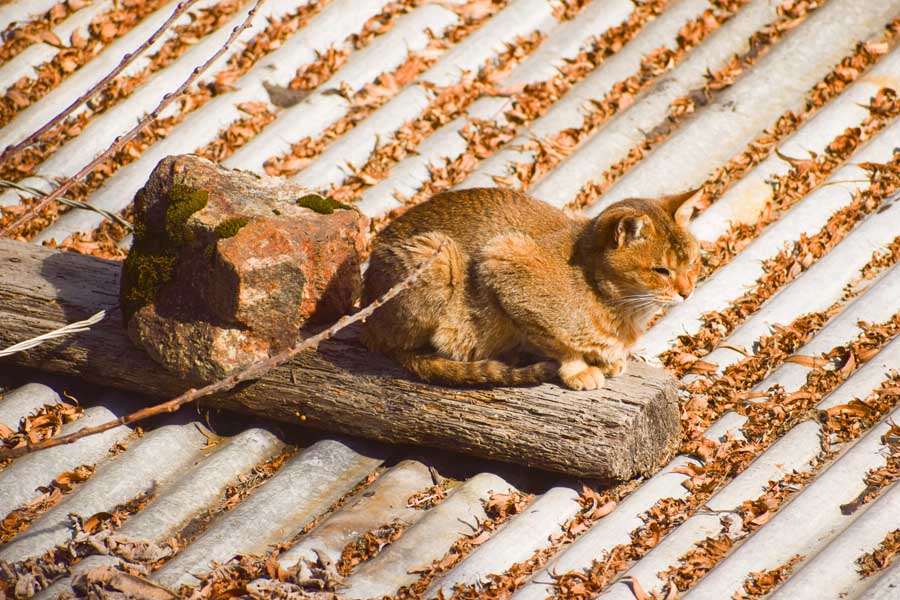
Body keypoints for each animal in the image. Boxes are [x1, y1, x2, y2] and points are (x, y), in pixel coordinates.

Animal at [362, 189, 700, 394]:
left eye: (693, 263)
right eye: (661, 271)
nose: (687, 292)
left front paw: (607, 359)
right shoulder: (502, 261)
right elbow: (558, 345)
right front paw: (579, 369)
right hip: (436, 257)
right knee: (406, 349)